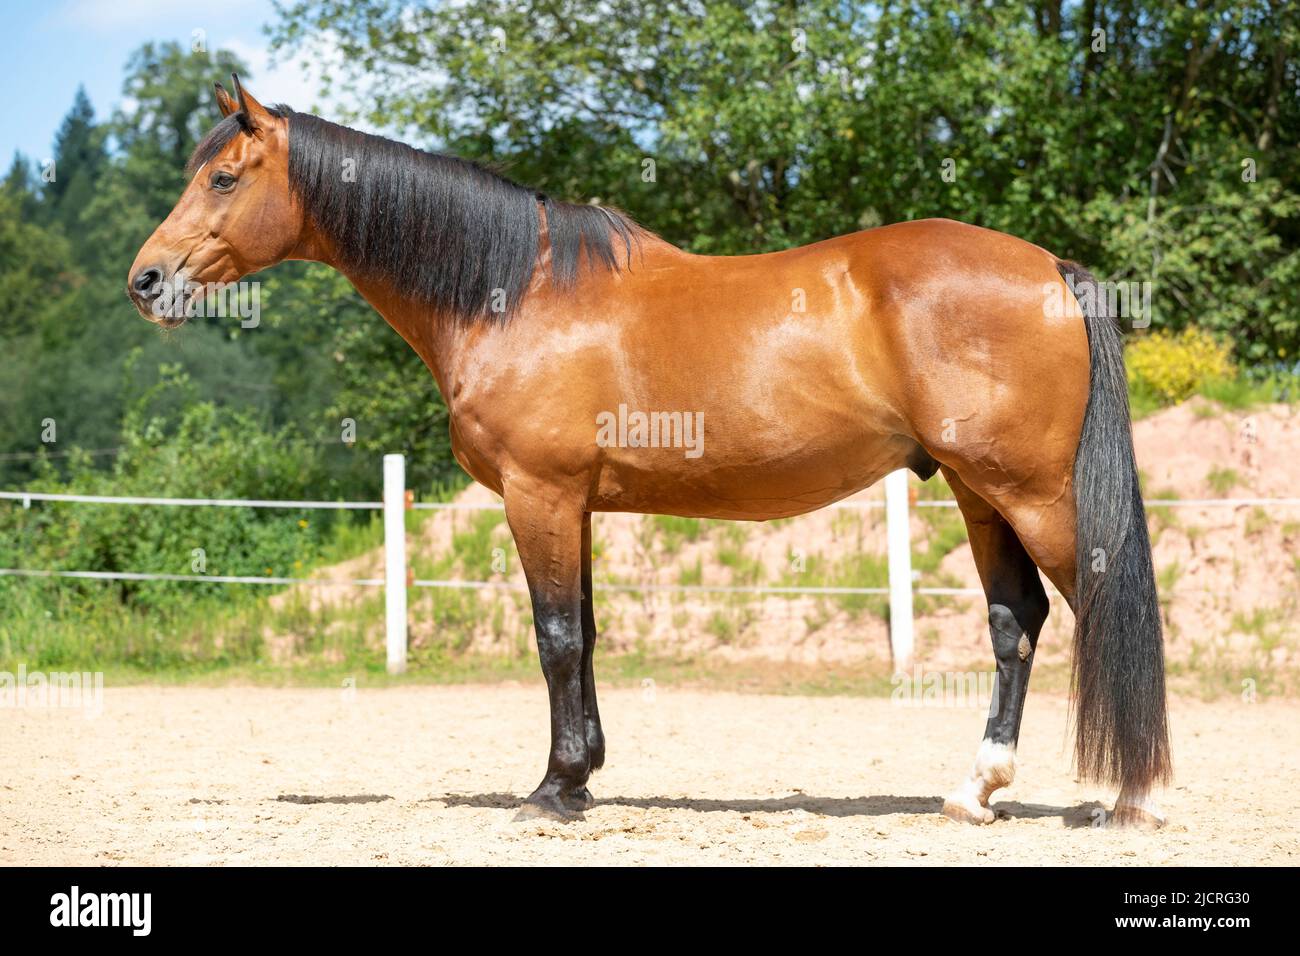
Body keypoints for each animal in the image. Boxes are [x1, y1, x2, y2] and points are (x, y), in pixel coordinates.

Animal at [129, 78, 1170, 832]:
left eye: (224, 178)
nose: (147, 279)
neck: (514, 290)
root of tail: (1054, 271)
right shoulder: (576, 505)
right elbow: (585, 636)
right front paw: (583, 776)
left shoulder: (539, 496)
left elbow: (554, 638)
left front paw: (552, 793)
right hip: (978, 491)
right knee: (1015, 622)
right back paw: (974, 791)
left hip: (1031, 494)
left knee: (1097, 608)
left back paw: (1135, 796)